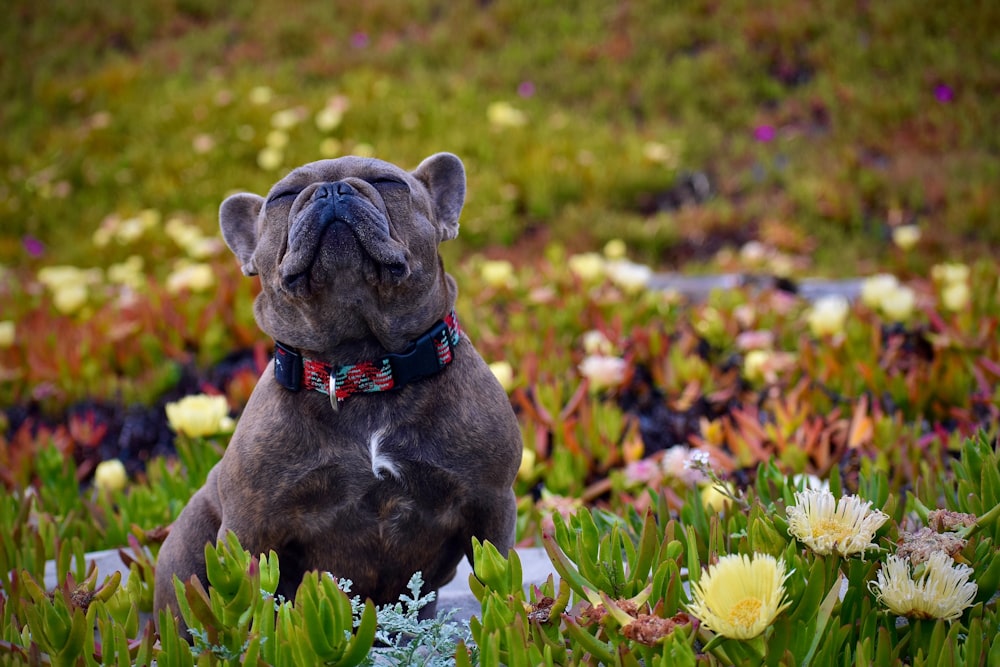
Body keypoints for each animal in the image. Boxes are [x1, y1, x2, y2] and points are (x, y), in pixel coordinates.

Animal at [154, 155, 524, 632]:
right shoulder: (250, 526)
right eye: (282, 197)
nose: (331, 190)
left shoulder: (491, 504)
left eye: (388, 182)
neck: (363, 368)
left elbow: (498, 579)